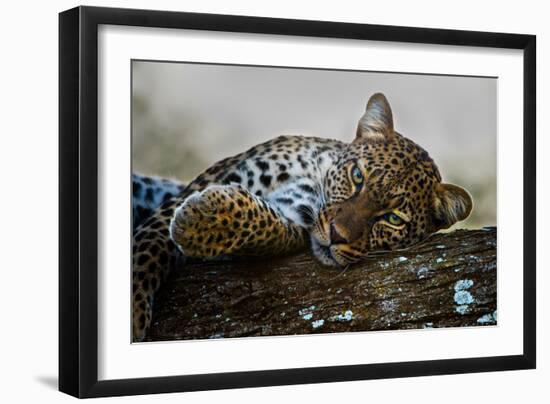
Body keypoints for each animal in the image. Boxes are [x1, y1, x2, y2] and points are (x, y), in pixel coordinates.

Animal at [130, 94, 474, 340]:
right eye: (357, 176)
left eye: (393, 219)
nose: (337, 235)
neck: (312, 176)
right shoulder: (198, 186)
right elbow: (148, 248)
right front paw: (133, 314)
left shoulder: (293, 221)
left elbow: (266, 226)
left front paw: (203, 219)